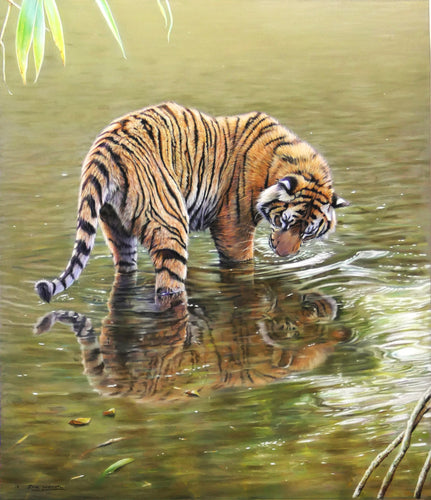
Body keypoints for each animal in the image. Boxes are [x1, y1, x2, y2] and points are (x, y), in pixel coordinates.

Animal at [35, 102, 350, 300]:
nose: (285, 256)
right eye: (284, 222)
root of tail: (105, 147)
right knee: (168, 282)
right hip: (170, 224)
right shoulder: (233, 227)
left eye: (307, 233)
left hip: (116, 227)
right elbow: (242, 263)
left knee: (124, 268)